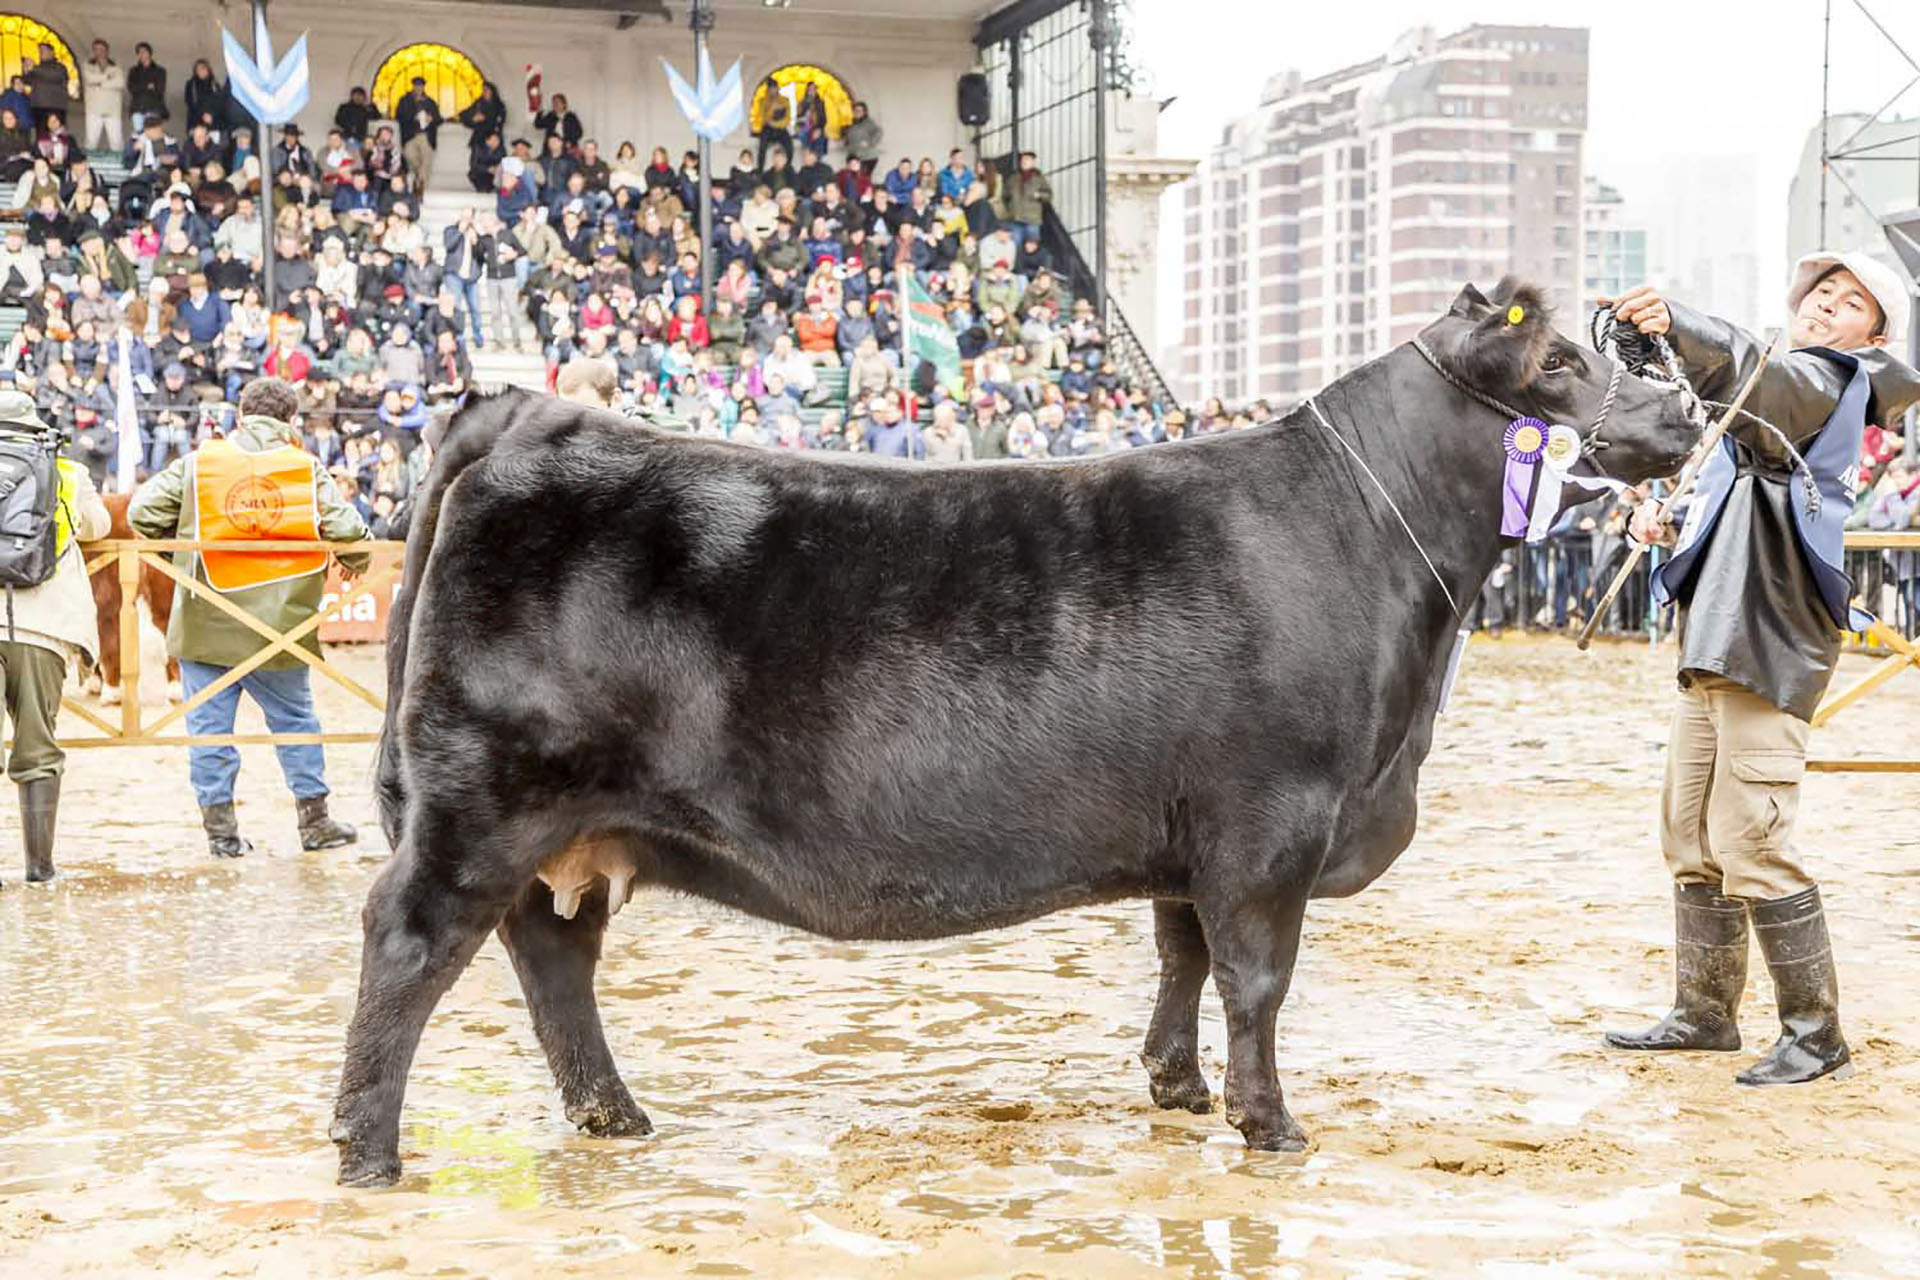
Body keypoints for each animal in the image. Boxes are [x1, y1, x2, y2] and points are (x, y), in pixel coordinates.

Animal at [334, 282, 1697, 1189]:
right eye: (1563, 359)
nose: (1684, 413)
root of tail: (533, 415)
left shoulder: (1191, 828)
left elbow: (1182, 956)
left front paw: (1176, 1088)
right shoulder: (1270, 821)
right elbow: (1256, 978)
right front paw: (1269, 1123)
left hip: (567, 828)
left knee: (554, 958)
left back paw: (613, 1116)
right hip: (484, 802)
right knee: (410, 943)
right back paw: (366, 1149)